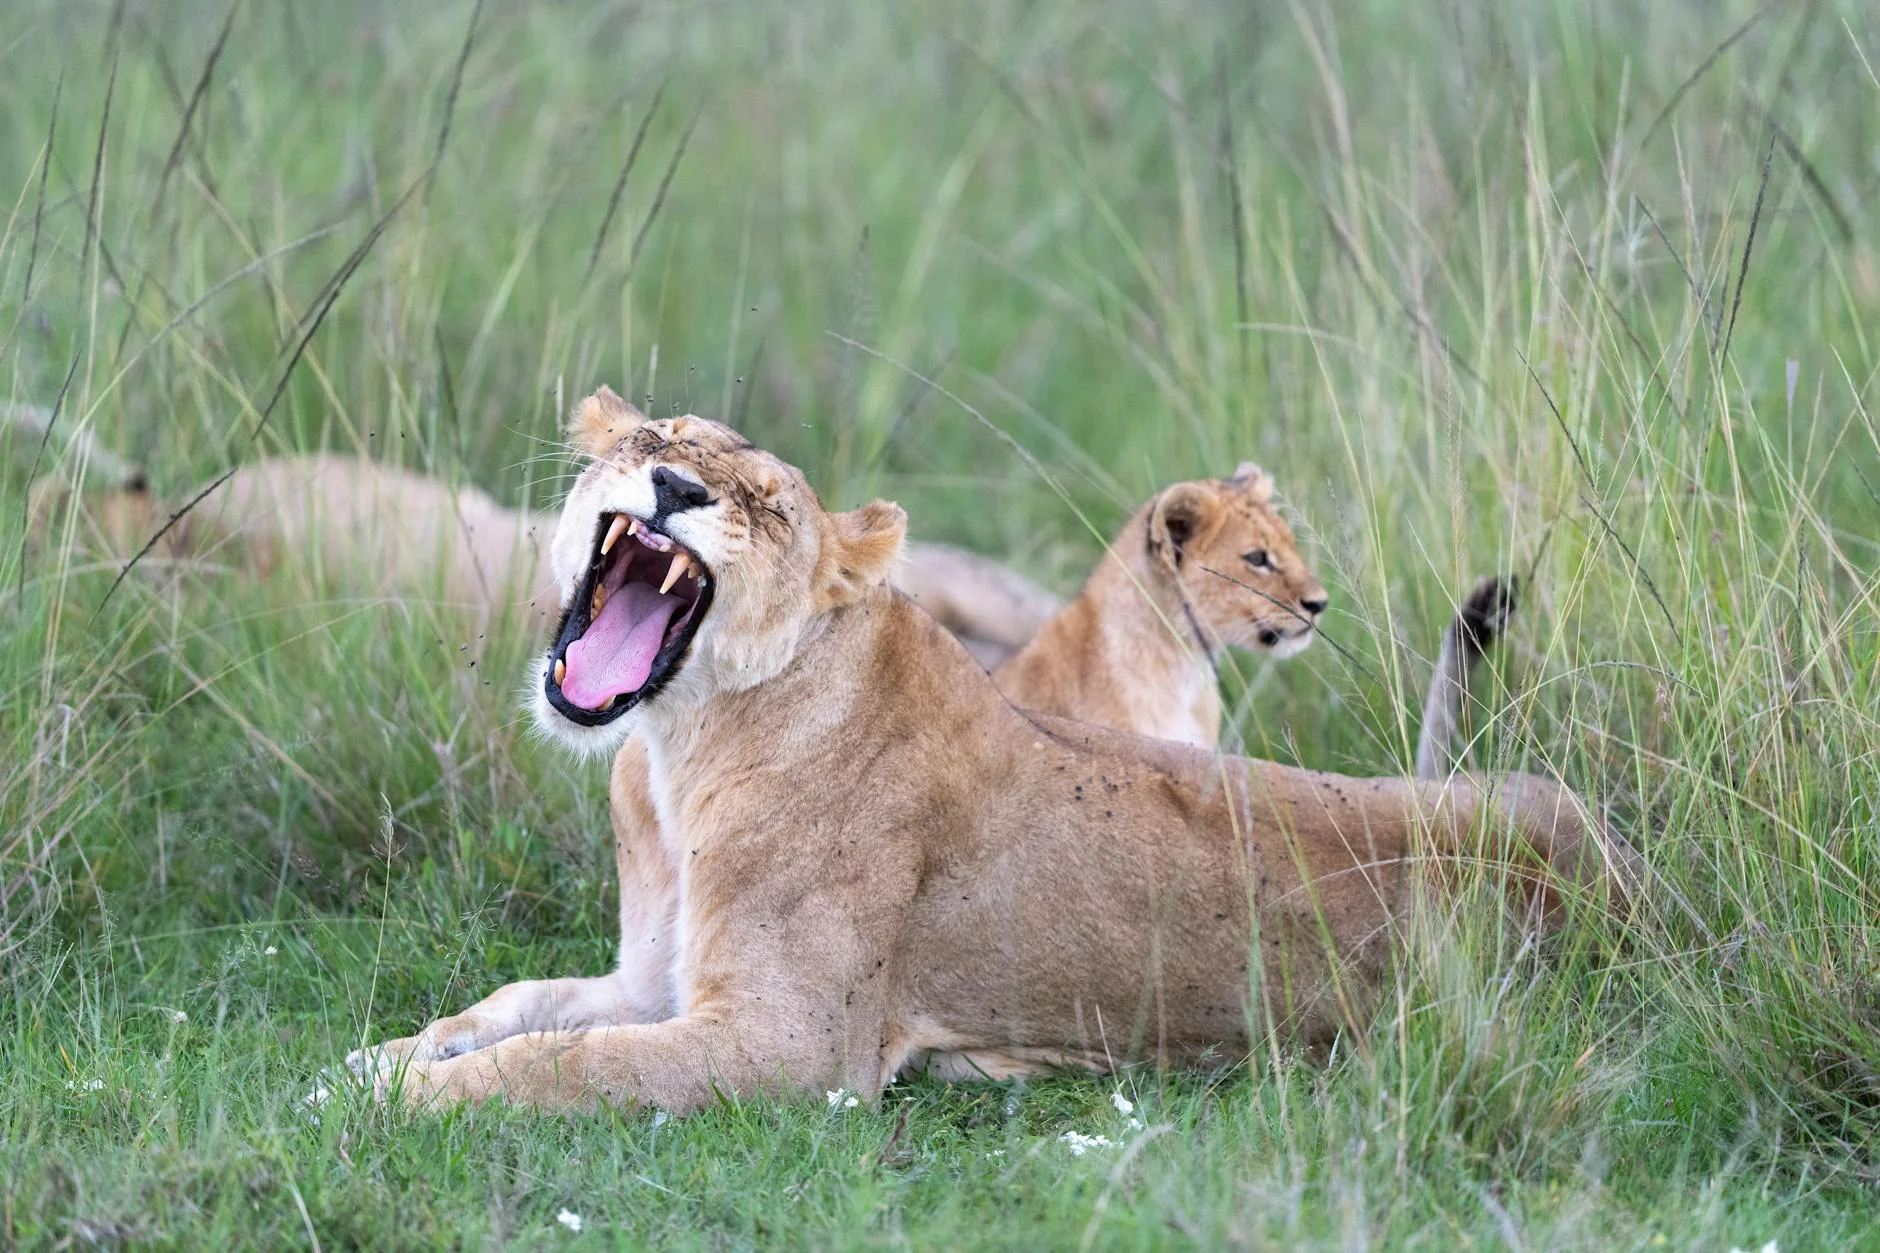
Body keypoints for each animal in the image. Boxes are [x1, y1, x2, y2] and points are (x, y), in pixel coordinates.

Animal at [341, 388, 1639, 1113]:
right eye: (658, 438)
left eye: (767, 502)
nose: (668, 484)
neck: (669, 745)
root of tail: (1625, 862)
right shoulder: (653, 977)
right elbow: (519, 1003)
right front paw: (381, 1057)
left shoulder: (790, 1046)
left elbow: (563, 1067)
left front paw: (396, 1098)